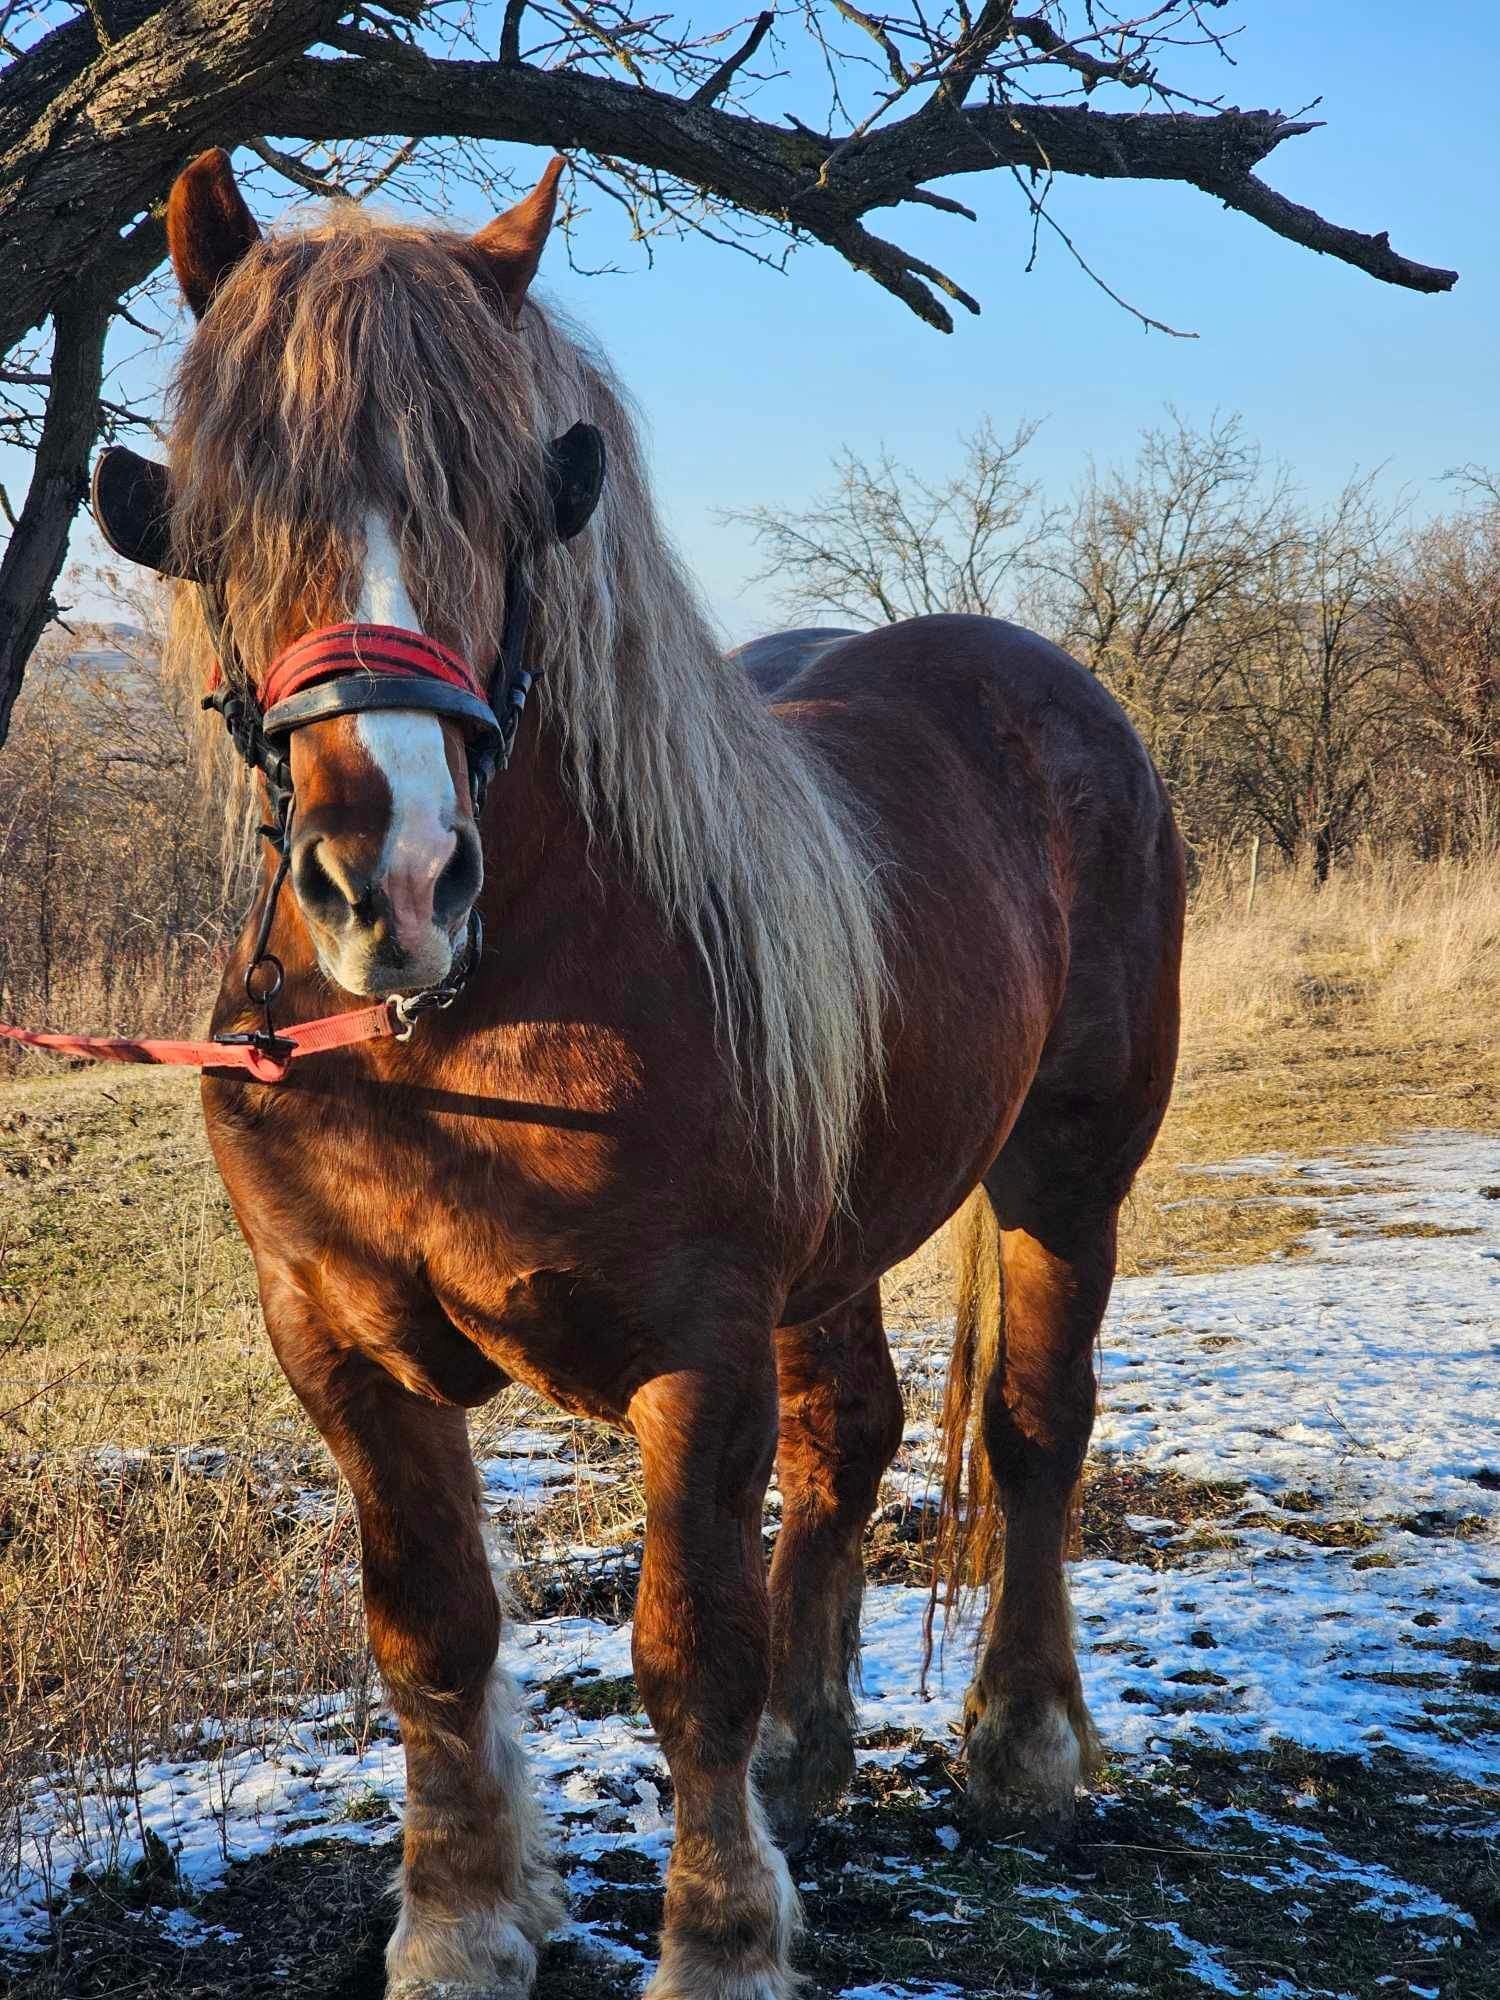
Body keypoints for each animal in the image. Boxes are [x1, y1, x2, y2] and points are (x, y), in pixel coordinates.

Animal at [132, 152, 1184, 2000]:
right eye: (226, 507)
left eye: (508, 505)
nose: (393, 882)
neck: (453, 1040)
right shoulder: (335, 1341)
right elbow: (431, 1628)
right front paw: (462, 1919)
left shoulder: (696, 1354)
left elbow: (690, 1648)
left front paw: (719, 1939)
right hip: (836, 1248)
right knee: (855, 1433)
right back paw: (810, 1758)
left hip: (1069, 1171)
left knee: (1037, 1431)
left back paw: (1025, 1743)